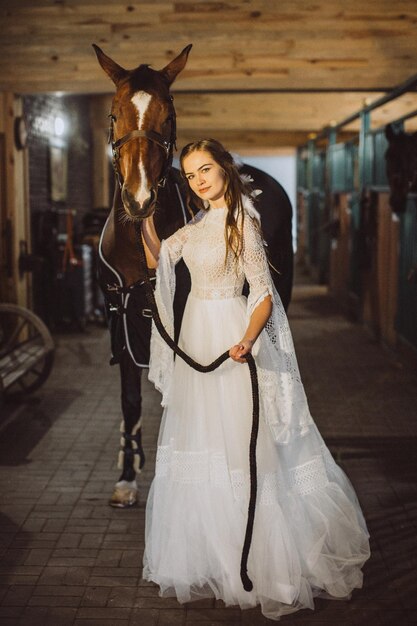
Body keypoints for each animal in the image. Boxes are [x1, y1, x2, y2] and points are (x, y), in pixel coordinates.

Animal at [92, 45, 292, 508]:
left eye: (169, 114)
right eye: (114, 114)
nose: (139, 198)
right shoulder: (121, 322)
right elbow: (130, 400)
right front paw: (127, 477)